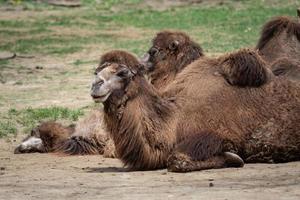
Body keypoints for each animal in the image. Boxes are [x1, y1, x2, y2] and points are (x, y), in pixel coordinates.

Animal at [91, 49, 300, 173]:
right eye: (96, 71)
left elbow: (177, 159)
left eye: (122, 73)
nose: (95, 85)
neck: (174, 120)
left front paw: (234, 158)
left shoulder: (212, 135)